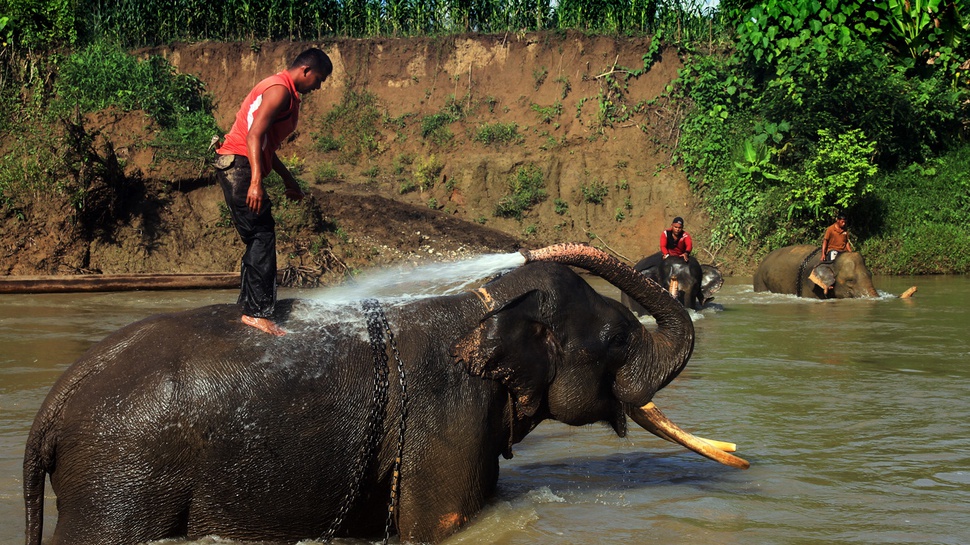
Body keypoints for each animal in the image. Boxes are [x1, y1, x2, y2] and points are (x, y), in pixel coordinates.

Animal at [24, 243, 748, 544]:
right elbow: (442, 525)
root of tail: (48, 415)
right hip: (120, 484)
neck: (476, 305)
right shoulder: (447, 419)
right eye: (617, 338)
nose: (743, 456)